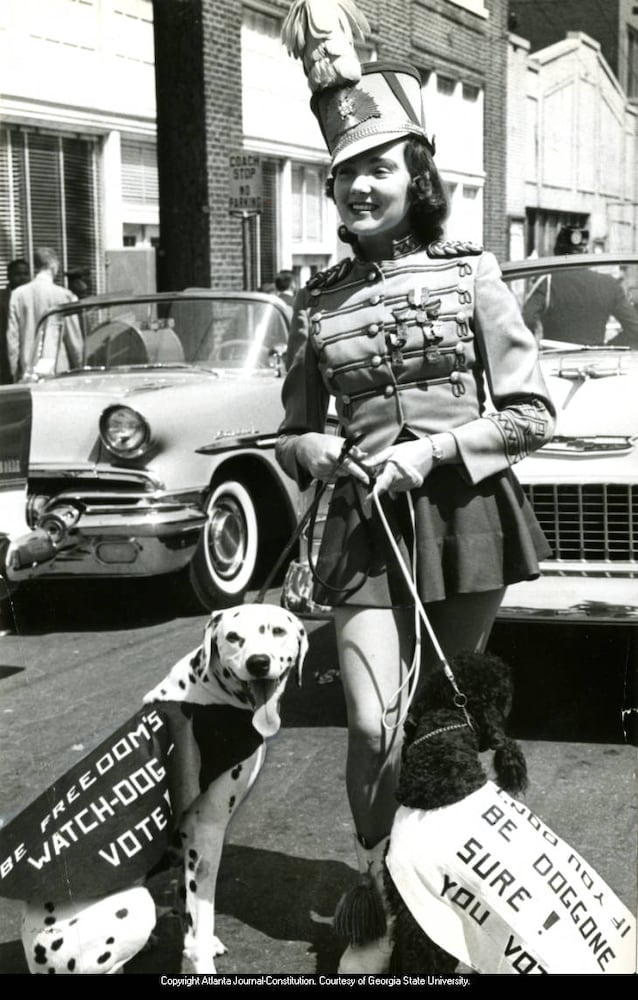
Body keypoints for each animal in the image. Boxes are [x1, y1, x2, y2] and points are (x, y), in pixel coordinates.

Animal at [144, 604, 308, 972]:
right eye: (233, 637)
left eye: (277, 631)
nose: (258, 662)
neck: (207, 697)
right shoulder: (206, 835)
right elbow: (200, 921)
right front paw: (200, 958)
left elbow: (186, 908)